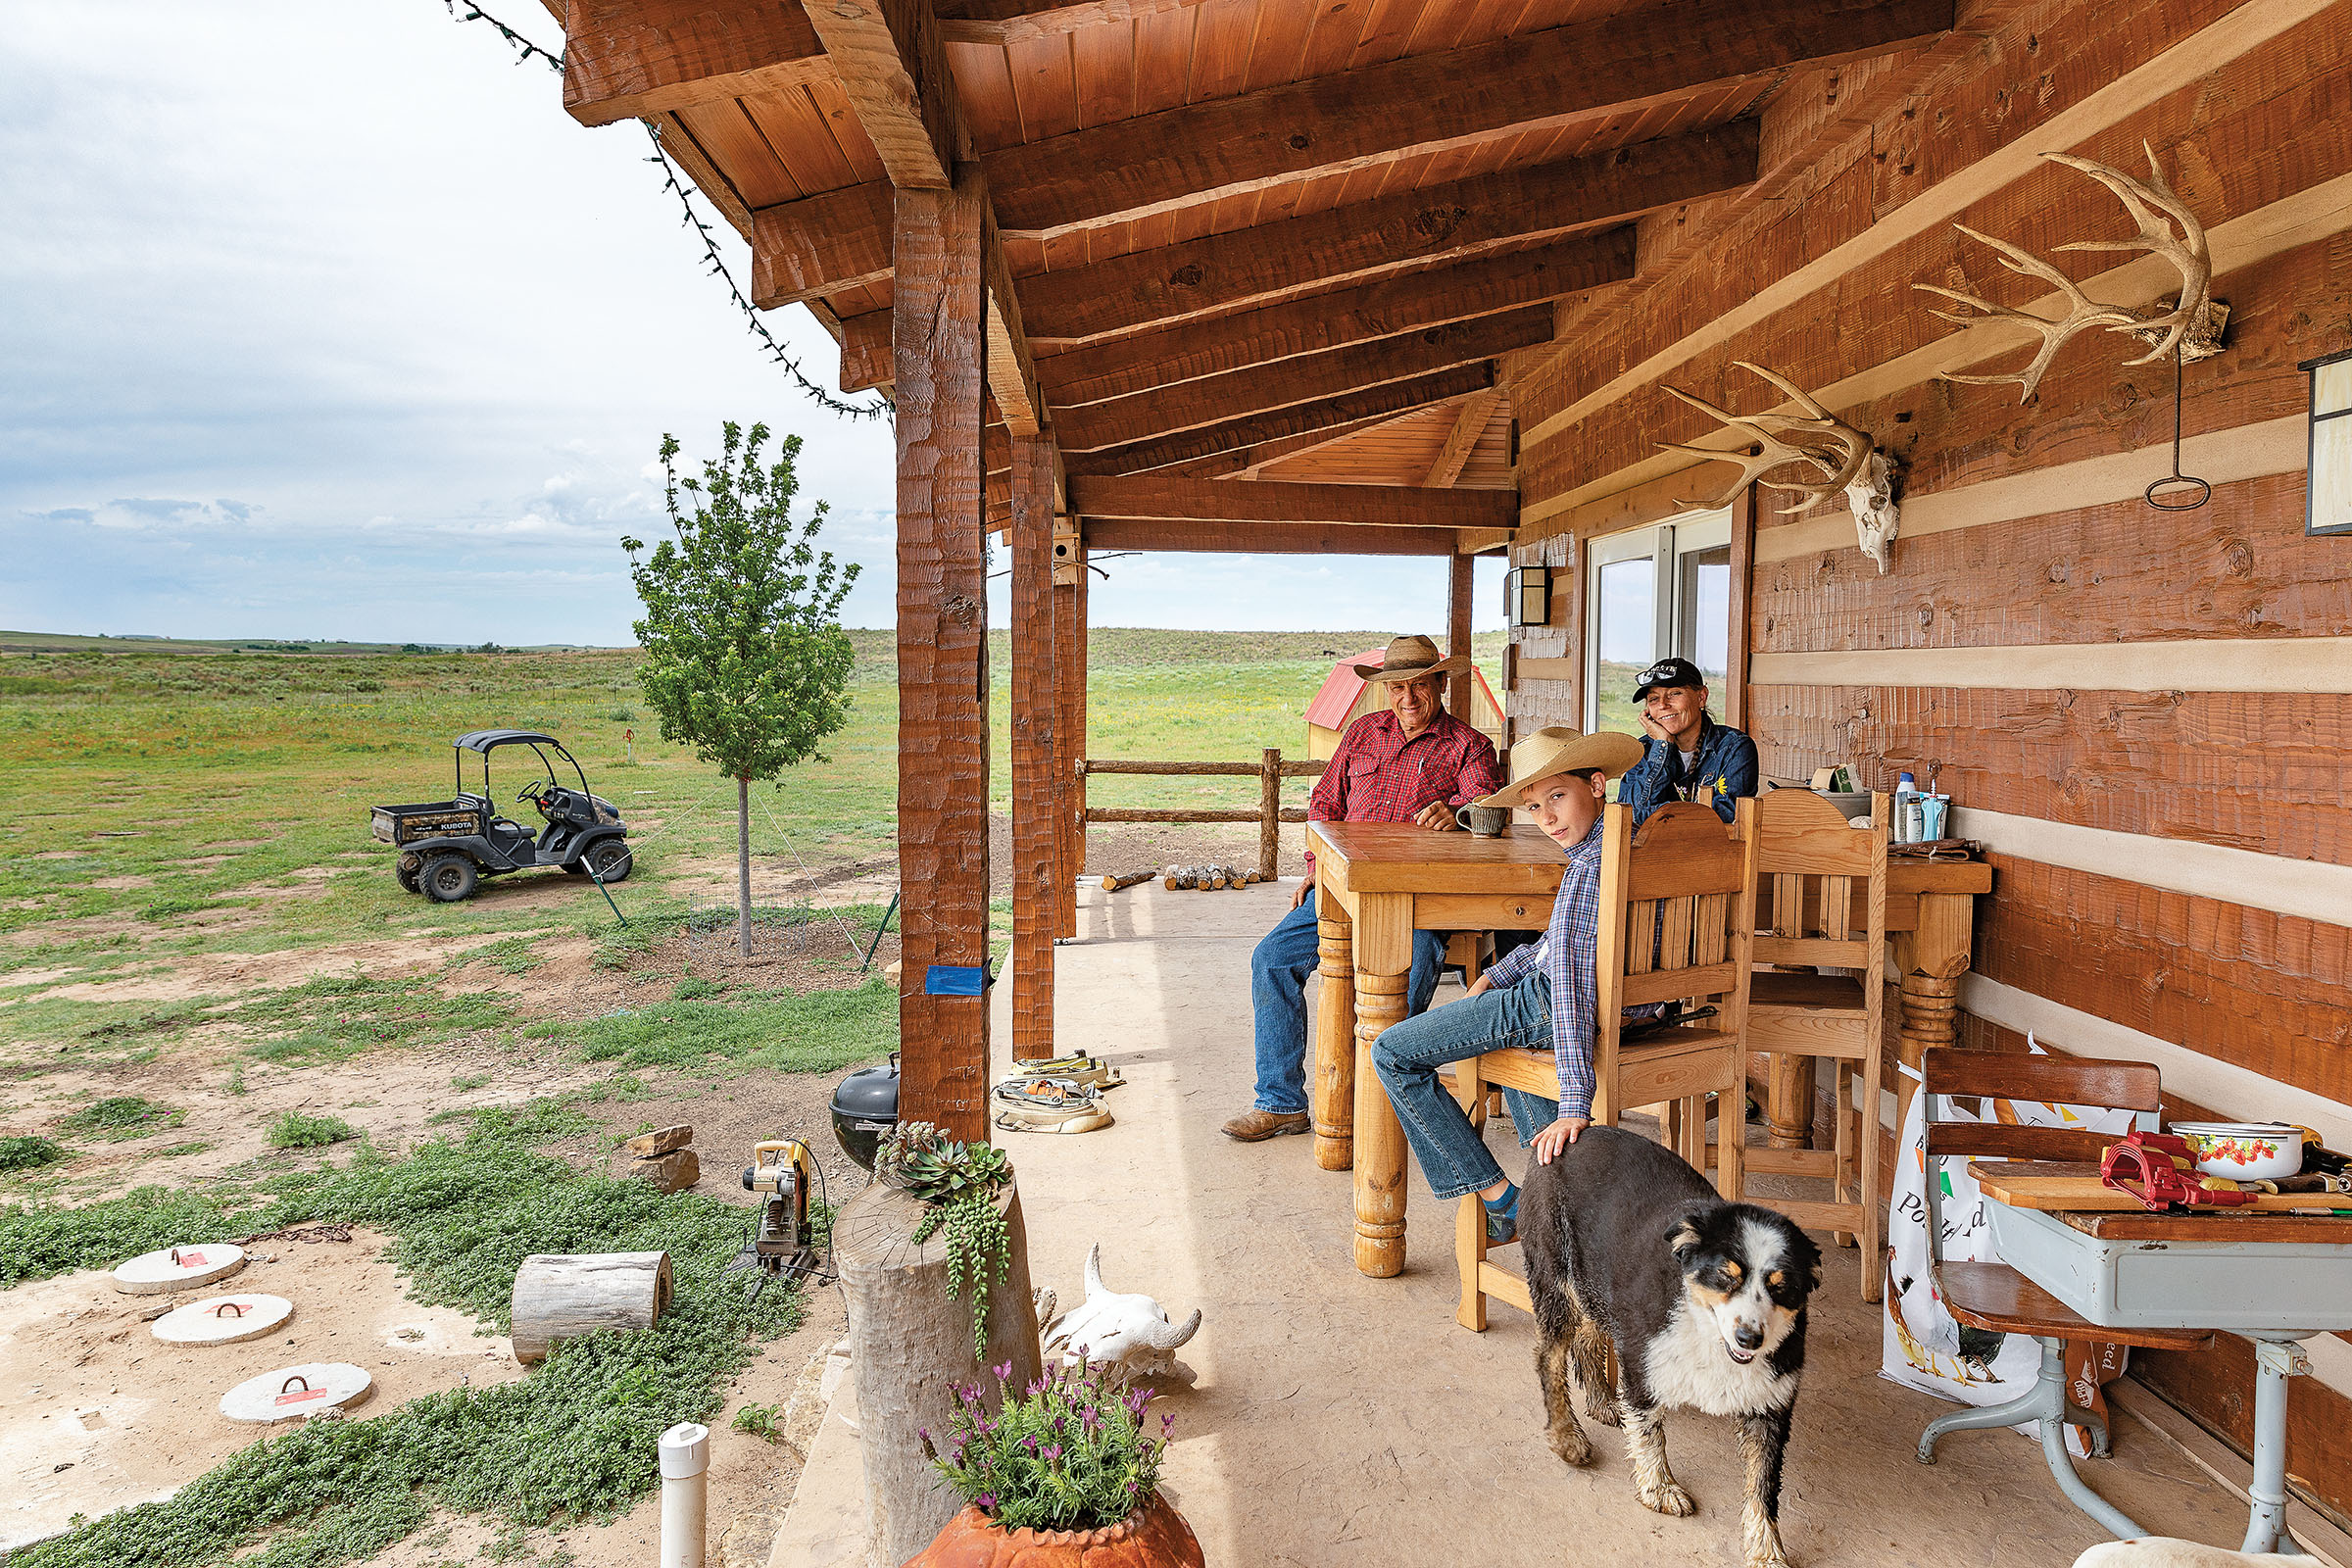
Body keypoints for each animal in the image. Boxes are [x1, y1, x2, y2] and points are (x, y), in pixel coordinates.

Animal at [1514, 1128, 1825, 1568]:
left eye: (1781, 1286)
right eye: (1725, 1275)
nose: (1749, 1339)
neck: (1707, 1333)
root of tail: (1572, 1133)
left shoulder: (1770, 1405)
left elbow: (1763, 1486)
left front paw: (1766, 1550)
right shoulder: (1640, 1360)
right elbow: (1649, 1433)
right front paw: (1659, 1489)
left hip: (1597, 1287)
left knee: (1589, 1337)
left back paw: (1602, 1401)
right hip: (1557, 1277)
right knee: (1550, 1355)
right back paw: (1566, 1437)